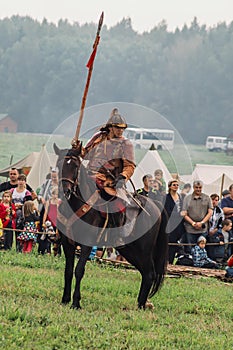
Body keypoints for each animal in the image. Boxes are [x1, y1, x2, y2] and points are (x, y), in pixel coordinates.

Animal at [54, 143, 167, 308]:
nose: (65, 191)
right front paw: (65, 299)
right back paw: (142, 303)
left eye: (75, 166)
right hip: (130, 250)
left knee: (150, 273)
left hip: (144, 249)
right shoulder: (67, 243)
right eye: (58, 165)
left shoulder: (87, 244)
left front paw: (76, 302)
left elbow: (79, 270)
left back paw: (141, 305)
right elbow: (68, 270)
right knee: (146, 273)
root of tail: (156, 205)